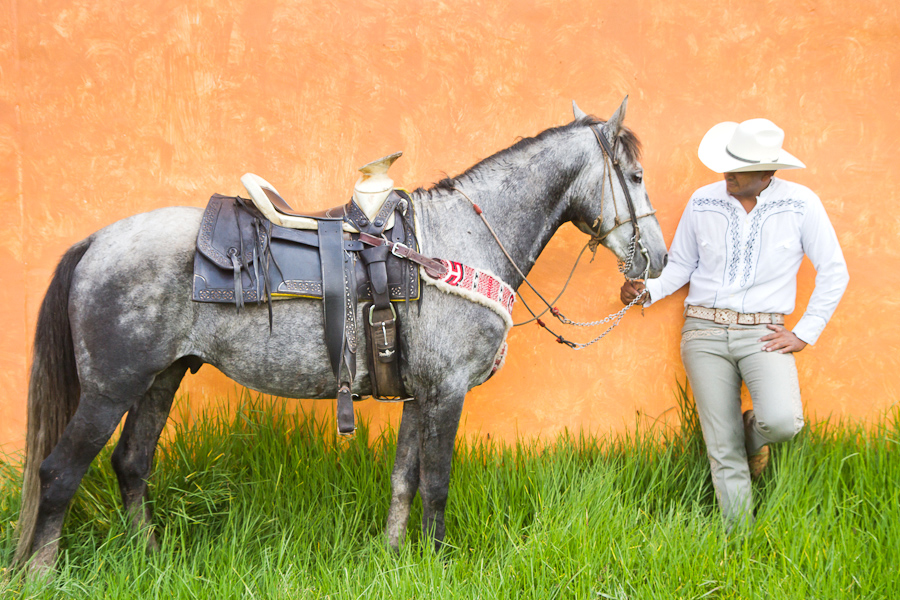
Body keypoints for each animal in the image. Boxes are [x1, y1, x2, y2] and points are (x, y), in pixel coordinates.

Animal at [14, 101, 668, 576]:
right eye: (635, 175)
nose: (656, 260)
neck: (452, 243)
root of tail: (96, 241)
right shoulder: (447, 392)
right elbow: (437, 484)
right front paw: (438, 565)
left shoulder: (419, 395)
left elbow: (405, 481)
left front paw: (394, 559)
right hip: (109, 390)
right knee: (60, 472)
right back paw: (43, 573)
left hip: (159, 379)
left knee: (131, 463)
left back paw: (151, 558)